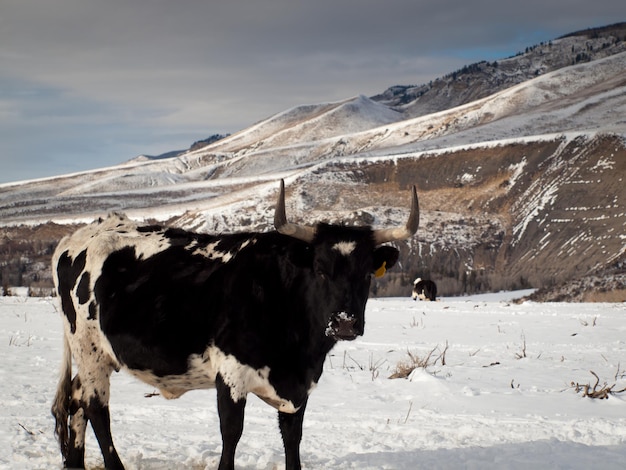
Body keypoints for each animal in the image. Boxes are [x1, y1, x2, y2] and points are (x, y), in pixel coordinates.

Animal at [50, 181, 420, 470]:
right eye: (320, 270)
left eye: (366, 273)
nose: (344, 324)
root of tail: (77, 237)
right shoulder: (230, 374)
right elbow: (231, 434)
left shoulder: (299, 387)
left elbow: (293, 438)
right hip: (89, 350)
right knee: (97, 410)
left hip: (96, 357)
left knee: (77, 400)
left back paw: (75, 463)